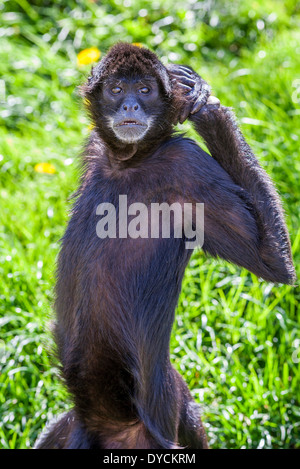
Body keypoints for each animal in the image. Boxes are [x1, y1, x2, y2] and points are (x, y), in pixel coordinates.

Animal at [35, 44, 296, 450]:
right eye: (117, 89)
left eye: (144, 90)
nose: (130, 105)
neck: (129, 163)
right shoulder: (98, 147)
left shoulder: (185, 163)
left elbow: (275, 263)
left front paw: (204, 101)